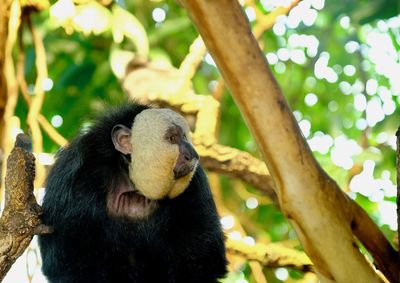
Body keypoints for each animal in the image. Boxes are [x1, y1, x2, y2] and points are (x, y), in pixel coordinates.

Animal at [39, 103, 230, 283]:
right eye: (172, 138)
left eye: (185, 138)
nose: (192, 155)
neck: (131, 185)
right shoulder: (73, 180)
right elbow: (70, 266)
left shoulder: (196, 182)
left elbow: (200, 263)